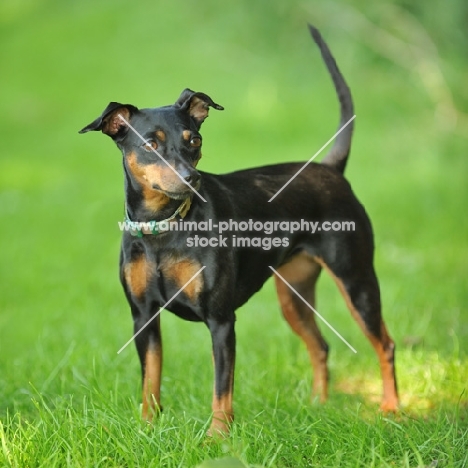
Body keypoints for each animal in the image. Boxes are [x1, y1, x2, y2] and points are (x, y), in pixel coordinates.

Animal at [79, 24, 398, 436]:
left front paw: (217, 438)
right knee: (320, 345)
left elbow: (222, 388)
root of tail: (330, 169)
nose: (192, 178)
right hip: (293, 294)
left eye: (195, 141)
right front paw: (147, 430)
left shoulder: (220, 320)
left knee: (384, 344)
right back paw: (318, 406)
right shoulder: (143, 317)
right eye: (150, 144)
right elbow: (150, 380)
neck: (165, 229)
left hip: (355, 280)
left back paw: (392, 409)